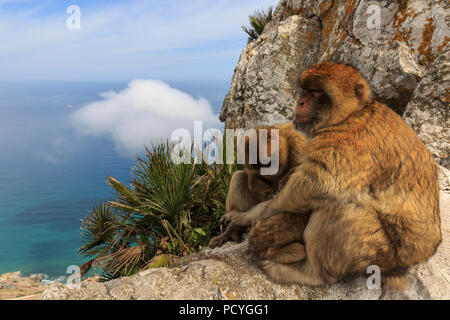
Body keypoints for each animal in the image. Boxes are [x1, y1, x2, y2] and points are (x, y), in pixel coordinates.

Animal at [221, 61, 440, 288]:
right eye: (305, 90)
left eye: (317, 91)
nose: (300, 102)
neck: (351, 115)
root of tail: (420, 256)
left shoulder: (349, 139)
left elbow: (317, 183)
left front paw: (255, 220)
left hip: (378, 252)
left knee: (339, 208)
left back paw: (306, 273)